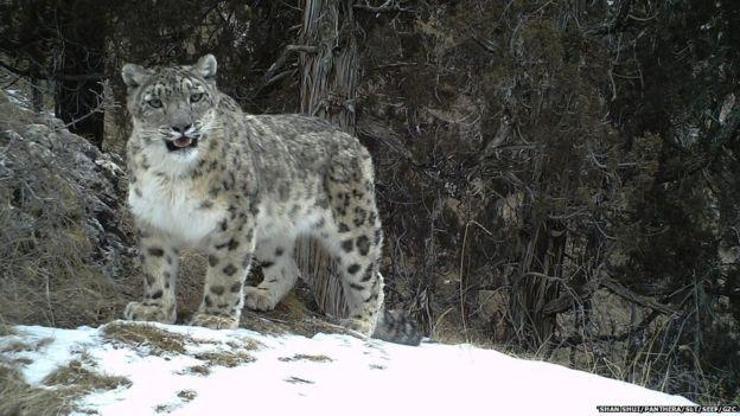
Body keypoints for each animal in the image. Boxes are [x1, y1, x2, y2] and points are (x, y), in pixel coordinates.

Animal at [121, 53, 422, 346]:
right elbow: (157, 268)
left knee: (370, 277)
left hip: (354, 227)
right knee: (289, 268)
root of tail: (355, 142)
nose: (182, 126)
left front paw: (215, 317)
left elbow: (225, 272)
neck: (172, 174)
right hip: (271, 229)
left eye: (195, 97)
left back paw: (359, 323)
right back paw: (261, 294)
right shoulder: (153, 219)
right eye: (155, 102)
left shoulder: (234, 218)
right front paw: (154, 309)